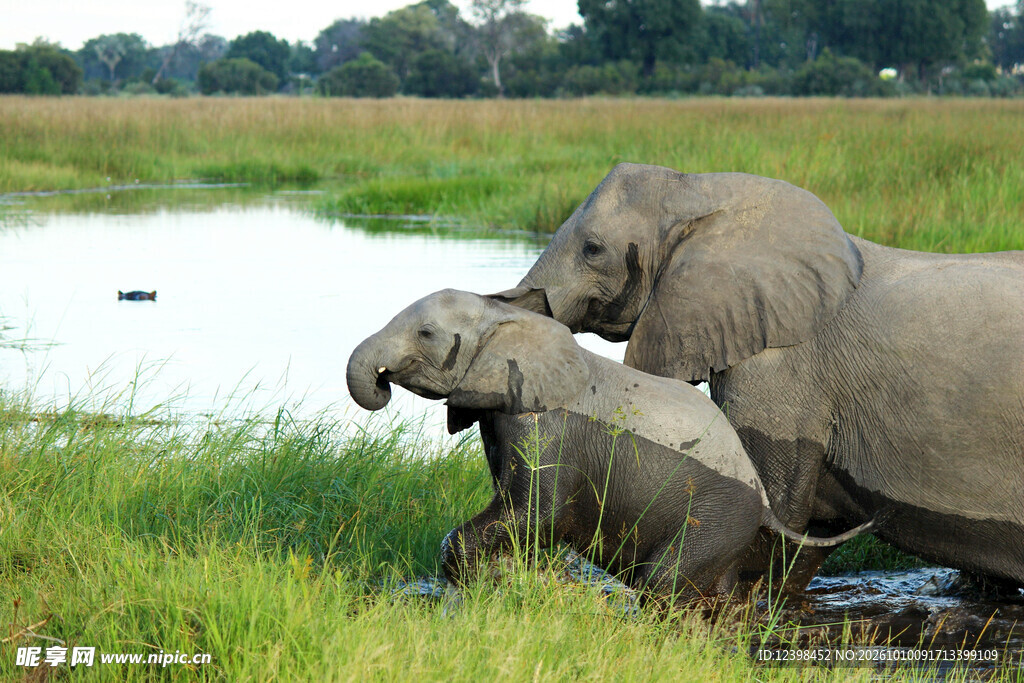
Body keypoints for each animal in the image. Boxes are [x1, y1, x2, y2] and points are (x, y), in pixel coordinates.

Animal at [346, 289, 871, 603]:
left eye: (426, 333)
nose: (382, 383)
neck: (506, 319)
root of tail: (762, 501)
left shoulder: (546, 428)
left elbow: (538, 512)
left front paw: (470, 588)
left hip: (718, 517)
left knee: (662, 583)